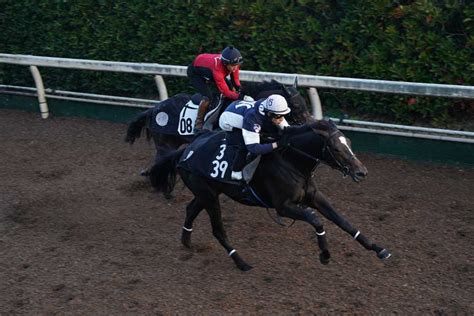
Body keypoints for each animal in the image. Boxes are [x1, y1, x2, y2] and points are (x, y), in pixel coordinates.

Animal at [146, 119, 390, 270]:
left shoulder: (314, 196)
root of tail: (185, 151)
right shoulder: (283, 206)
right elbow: (316, 220)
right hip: (209, 196)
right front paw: (325, 255)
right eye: (337, 149)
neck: (292, 160)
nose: (361, 172)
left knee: (190, 209)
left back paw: (187, 241)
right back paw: (241, 262)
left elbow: (344, 222)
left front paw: (379, 250)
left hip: (208, 192)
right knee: (218, 230)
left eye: (349, 143)